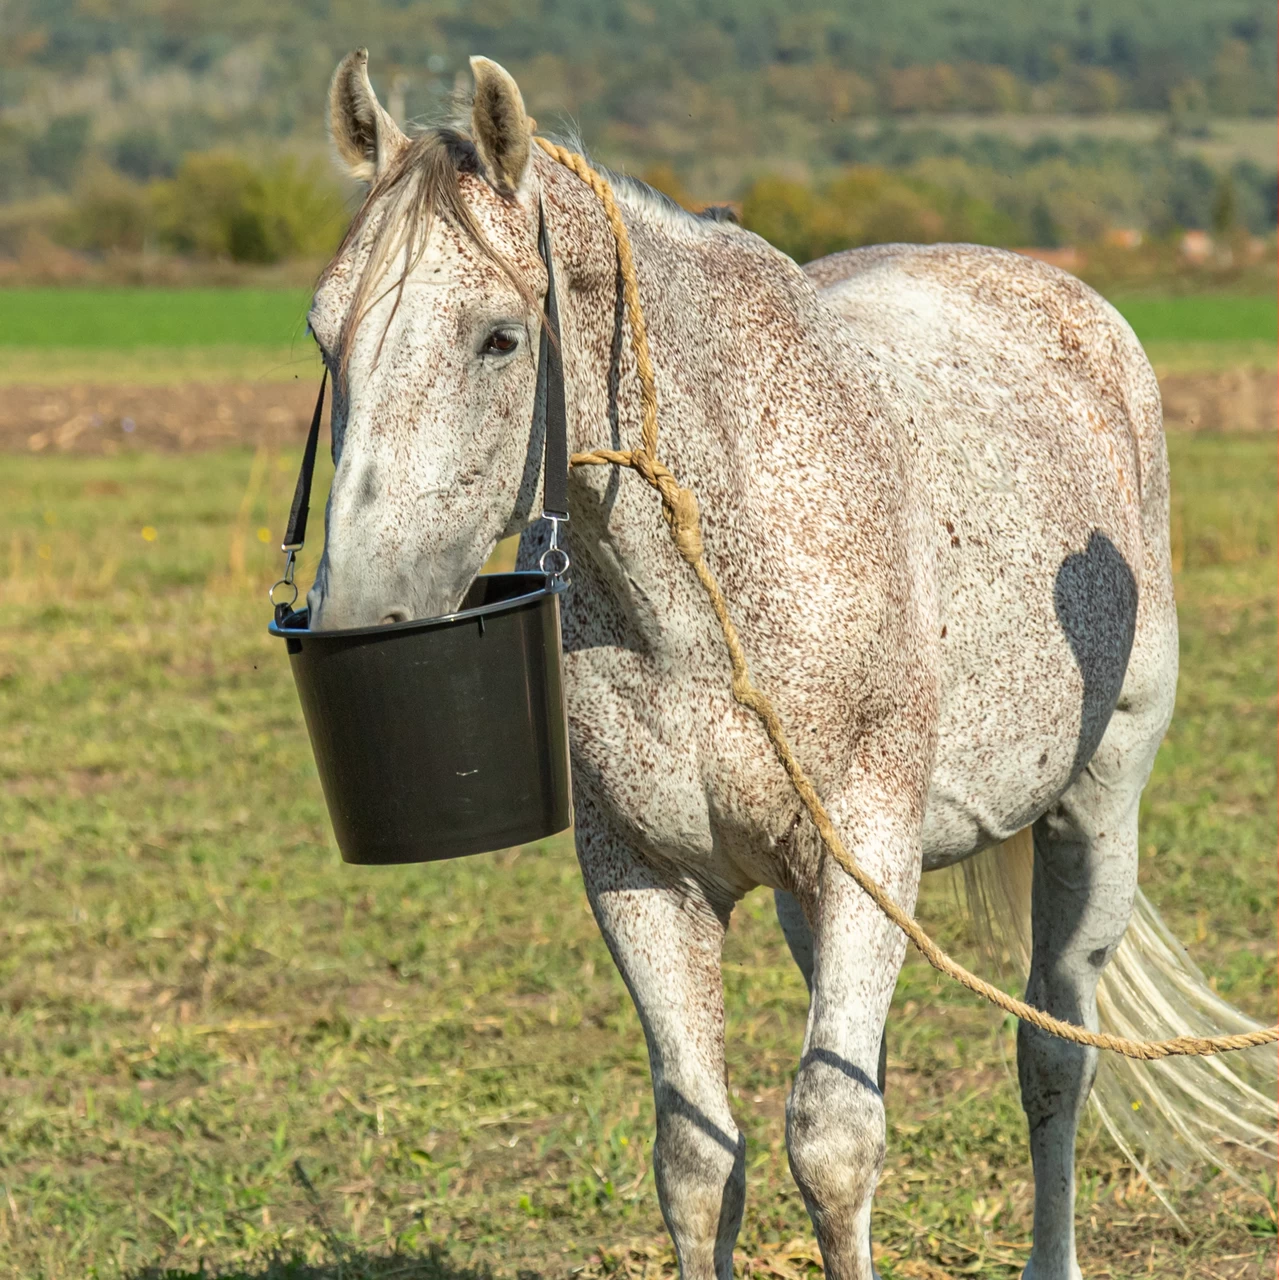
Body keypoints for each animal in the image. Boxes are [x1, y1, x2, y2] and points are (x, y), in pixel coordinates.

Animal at [304, 49, 1274, 1280]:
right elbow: (697, 1159)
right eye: (321, 334)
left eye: (498, 339)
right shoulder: (646, 882)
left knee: (1054, 1054)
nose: (358, 616)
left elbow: (832, 1138)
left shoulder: (868, 849)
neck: (695, 602)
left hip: (1093, 819)